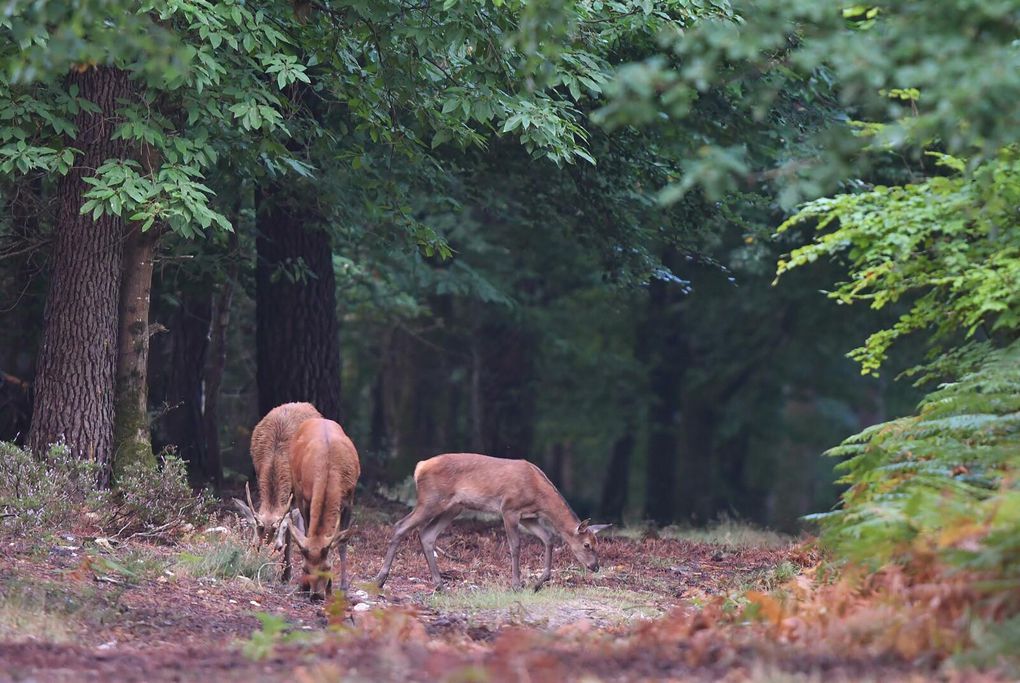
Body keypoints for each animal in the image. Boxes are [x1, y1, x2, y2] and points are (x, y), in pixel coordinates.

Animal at [277, 413, 361, 603]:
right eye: (306, 568)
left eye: (327, 567)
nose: (316, 595)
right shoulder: (305, 499)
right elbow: (308, 531)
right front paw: (304, 587)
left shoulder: (349, 500)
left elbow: (342, 542)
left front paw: (342, 589)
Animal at [375, 452, 612, 591]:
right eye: (587, 545)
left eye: (597, 543)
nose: (595, 566)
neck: (539, 495)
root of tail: (419, 467)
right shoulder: (509, 509)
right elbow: (515, 546)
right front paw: (516, 585)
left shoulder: (529, 517)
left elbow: (549, 537)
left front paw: (538, 582)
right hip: (431, 499)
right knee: (400, 526)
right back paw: (380, 578)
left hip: (453, 507)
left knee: (426, 534)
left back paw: (440, 584)